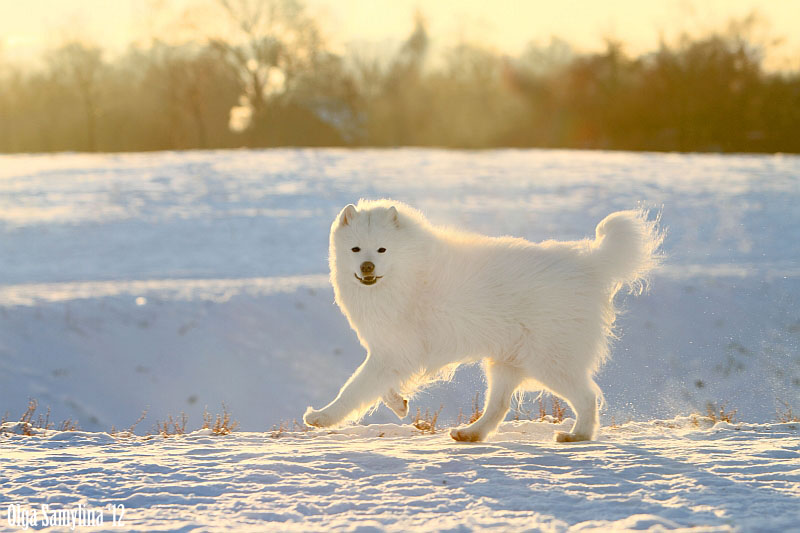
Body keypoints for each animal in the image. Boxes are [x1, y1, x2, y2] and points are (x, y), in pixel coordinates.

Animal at [304, 200, 660, 440]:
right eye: (355, 249)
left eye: (381, 249)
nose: (367, 267)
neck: (407, 274)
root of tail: (590, 263)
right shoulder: (393, 352)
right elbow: (376, 387)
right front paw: (399, 403)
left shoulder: (396, 352)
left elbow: (354, 389)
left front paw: (322, 417)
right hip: (506, 362)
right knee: (498, 407)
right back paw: (470, 433)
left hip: (549, 362)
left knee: (587, 396)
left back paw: (577, 435)